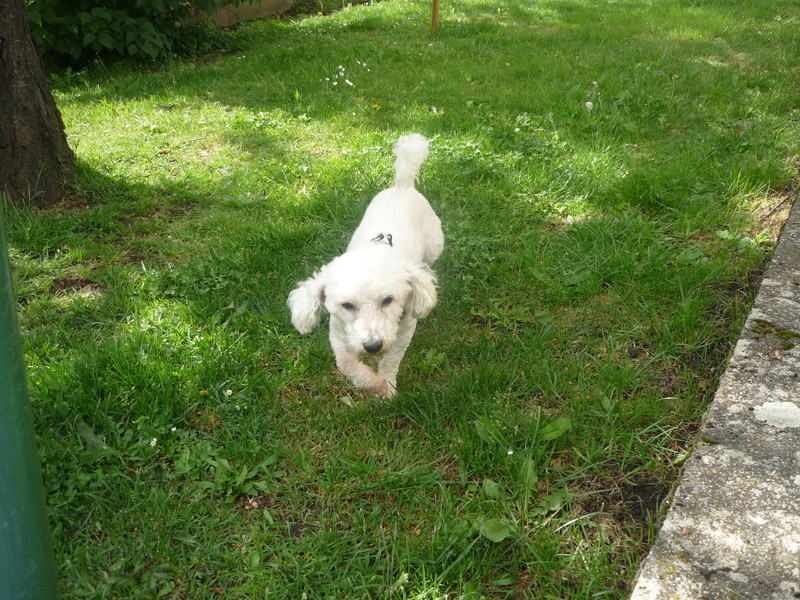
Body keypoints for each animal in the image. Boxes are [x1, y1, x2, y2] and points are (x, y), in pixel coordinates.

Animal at [288, 135, 444, 398]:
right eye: (347, 305)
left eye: (389, 300)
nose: (373, 346)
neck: (375, 250)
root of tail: (402, 186)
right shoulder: (338, 333)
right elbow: (346, 364)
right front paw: (374, 384)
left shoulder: (403, 331)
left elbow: (390, 361)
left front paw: (386, 386)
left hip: (435, 243)